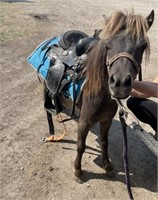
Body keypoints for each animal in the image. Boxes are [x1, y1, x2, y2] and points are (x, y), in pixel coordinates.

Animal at [43, 10, 154, 180]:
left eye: (143, 46)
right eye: (108, 44)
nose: (120, 83)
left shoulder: (106, 120)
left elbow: (104, 142)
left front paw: (107, 166)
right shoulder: (84, 123)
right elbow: (80, 146)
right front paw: (78, 171)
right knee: (47, 112)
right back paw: (52, 133)